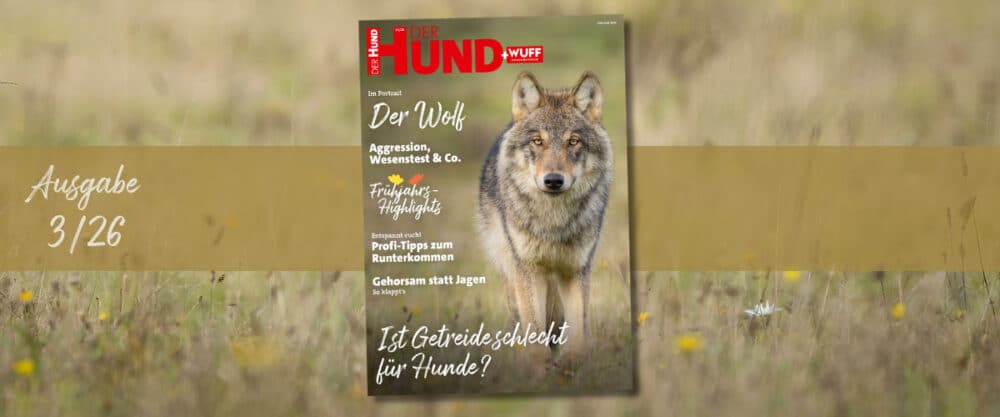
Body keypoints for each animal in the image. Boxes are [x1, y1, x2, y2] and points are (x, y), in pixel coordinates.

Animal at [477, 71, 612, 374]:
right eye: (537, 141)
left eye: (573, 141)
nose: (553, 180)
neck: (554, 223)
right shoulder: (528, 271)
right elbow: (533, 327)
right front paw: (539, 370)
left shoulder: (576, 270)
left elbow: (578, 328)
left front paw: (573, 366)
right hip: (512, 275)